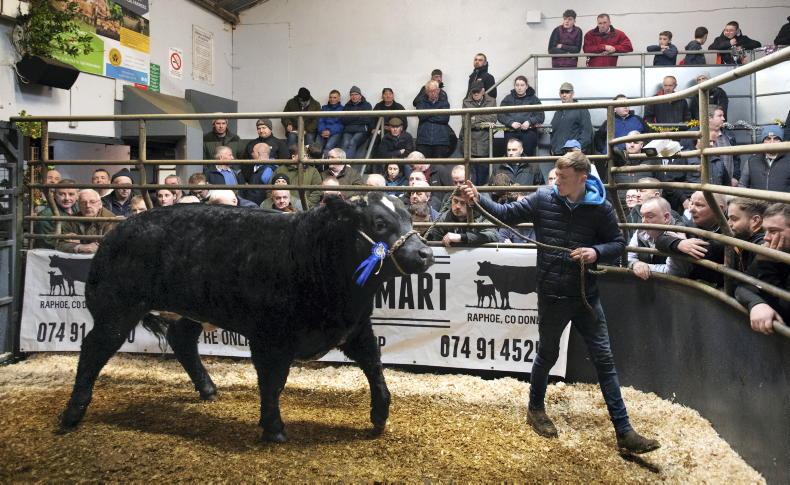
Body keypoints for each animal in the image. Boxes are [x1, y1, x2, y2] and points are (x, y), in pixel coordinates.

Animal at [58, 193, 434, 443]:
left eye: (409, 218)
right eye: (379, 223)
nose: (425, 253)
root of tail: (117, 231)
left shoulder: (355, 329)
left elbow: (375, 368)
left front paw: (379, 417)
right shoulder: (269, 337)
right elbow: (272, 382)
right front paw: (274, 429)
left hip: (189, 309)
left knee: (181, 340)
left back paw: (208, 389)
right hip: (115, 309)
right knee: (92, 350)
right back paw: (72, 413)